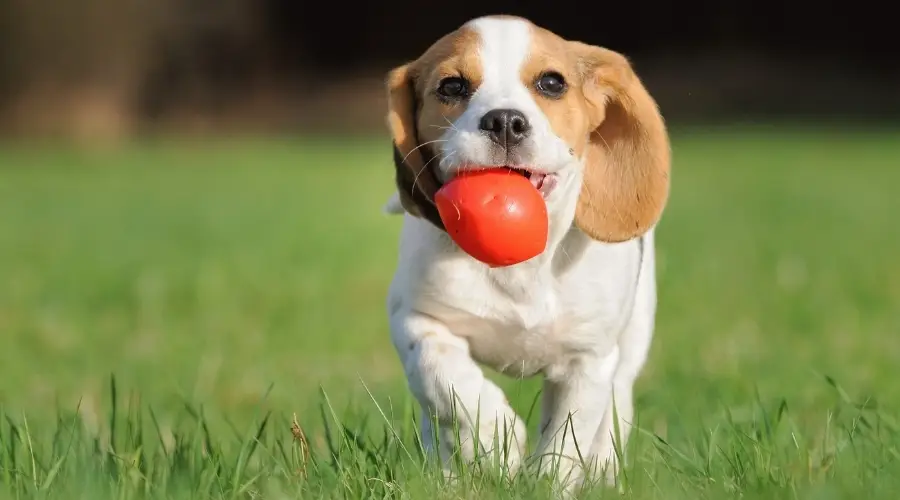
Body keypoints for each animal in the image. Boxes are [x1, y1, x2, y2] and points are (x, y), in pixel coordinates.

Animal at [380, 13, 668, 490]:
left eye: (551, 83)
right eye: (452, 86)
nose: (504, 122)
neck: (520, 267)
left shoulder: (587, 359)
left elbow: (566, 440)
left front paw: (548, 481)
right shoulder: (417, 320)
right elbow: (446, 380)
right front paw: (493, 439)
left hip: (630, 343)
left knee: (614, 410)